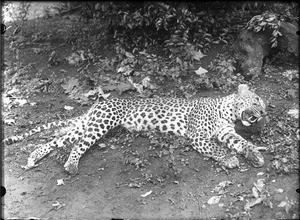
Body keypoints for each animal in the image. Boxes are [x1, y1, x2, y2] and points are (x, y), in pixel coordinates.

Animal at [4, 84, 268, 175]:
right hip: (101, 123)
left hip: (86, 125)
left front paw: (255, 154)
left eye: (263, 105)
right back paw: (69, 164)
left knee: (58, 140)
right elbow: (216, 148)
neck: (226, 112)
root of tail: (97, 104)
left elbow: (241, 142)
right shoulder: (198, 135)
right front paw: (230, 159)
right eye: (256, 101)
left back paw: (37, 157)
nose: (263, 113)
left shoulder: (226, 132)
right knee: (74, 143)